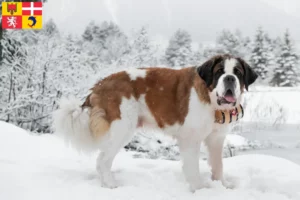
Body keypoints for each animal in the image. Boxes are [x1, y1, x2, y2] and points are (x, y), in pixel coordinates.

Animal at [52, 54, 256, 191]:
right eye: (219, 72)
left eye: (237, 73)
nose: (229, 78)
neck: (211, 99)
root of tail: (100, 84)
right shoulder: (190, 139)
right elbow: (193, 167)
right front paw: (199, 189)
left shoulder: (216, 138)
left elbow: (218, 164)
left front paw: (223, 186)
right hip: (122, 128)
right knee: (102, 160)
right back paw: (111, 185)